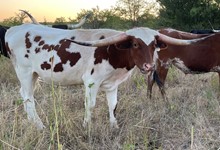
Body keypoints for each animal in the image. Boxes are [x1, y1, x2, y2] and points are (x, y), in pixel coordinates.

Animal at [4, 24, 153, 128]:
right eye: (135, 44)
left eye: (154, 45)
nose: (149, 66)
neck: (112, 50)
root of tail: (14, 29)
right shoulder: (91, 81)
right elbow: (90, 105)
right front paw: (87, 127)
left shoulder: (112, 83)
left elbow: (113, 105)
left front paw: (114, 126)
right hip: (25, 72)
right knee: (29, 98)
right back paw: (40, 126)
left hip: (33, 74)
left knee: (23, 94)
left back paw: (32, 122)